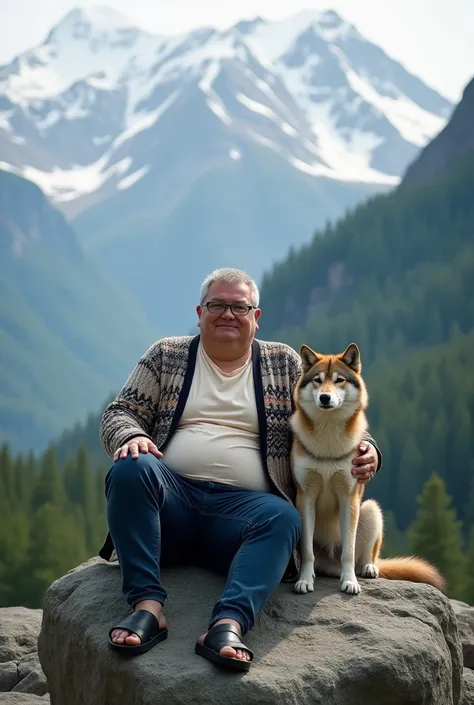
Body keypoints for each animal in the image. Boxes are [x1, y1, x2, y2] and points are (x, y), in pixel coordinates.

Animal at [288, 340, 444, 592]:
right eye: (318, 380)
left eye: (339, 380)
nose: (324, 398)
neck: (328, 439)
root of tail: (330, 566)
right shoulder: (305, 497)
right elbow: (307, 552)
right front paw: (304, 580)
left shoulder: (349, 497)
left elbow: (349, 552)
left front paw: (350, 581)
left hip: (371, 510)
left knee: (366, 557)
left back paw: (368, 569)